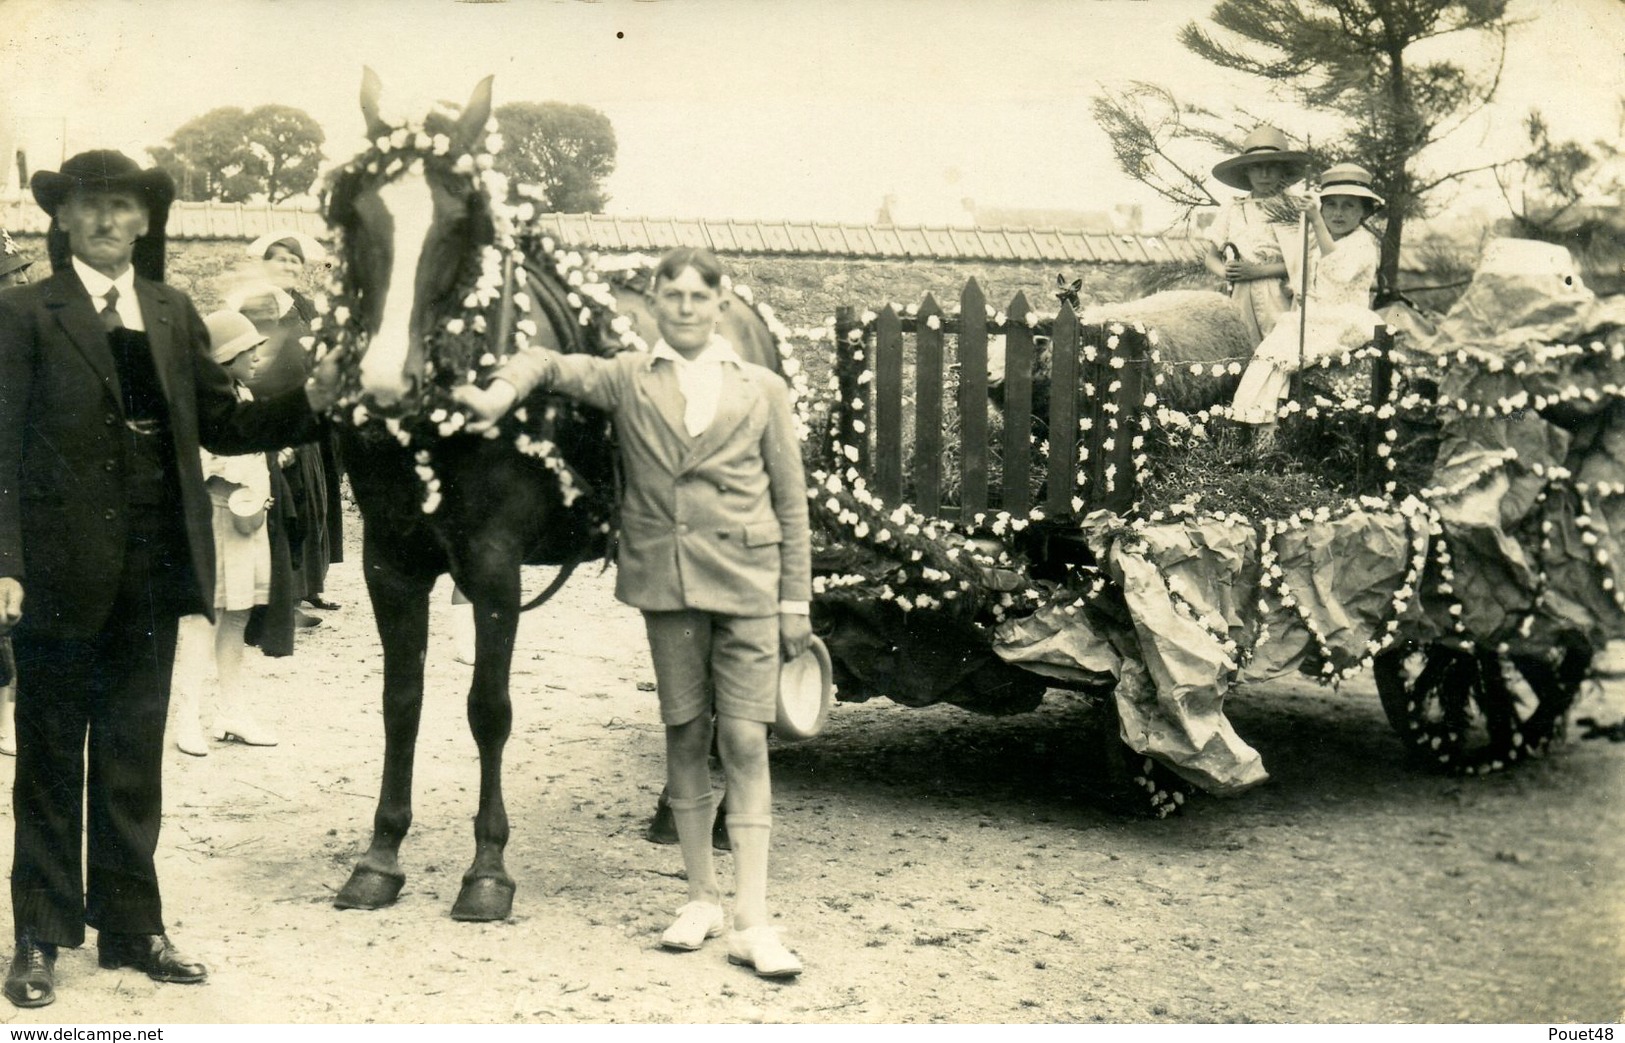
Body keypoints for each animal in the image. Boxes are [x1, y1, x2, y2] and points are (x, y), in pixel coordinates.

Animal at [316, 71, 786, 916]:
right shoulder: (388, 560)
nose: (385, 382)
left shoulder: (494, 563)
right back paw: (674, 810)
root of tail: (742, 304)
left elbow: (487, 709)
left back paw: (720, 815)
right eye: (357, 210)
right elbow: (401, 702)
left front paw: (487, 867)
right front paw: (381, 854)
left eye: (460, 222)